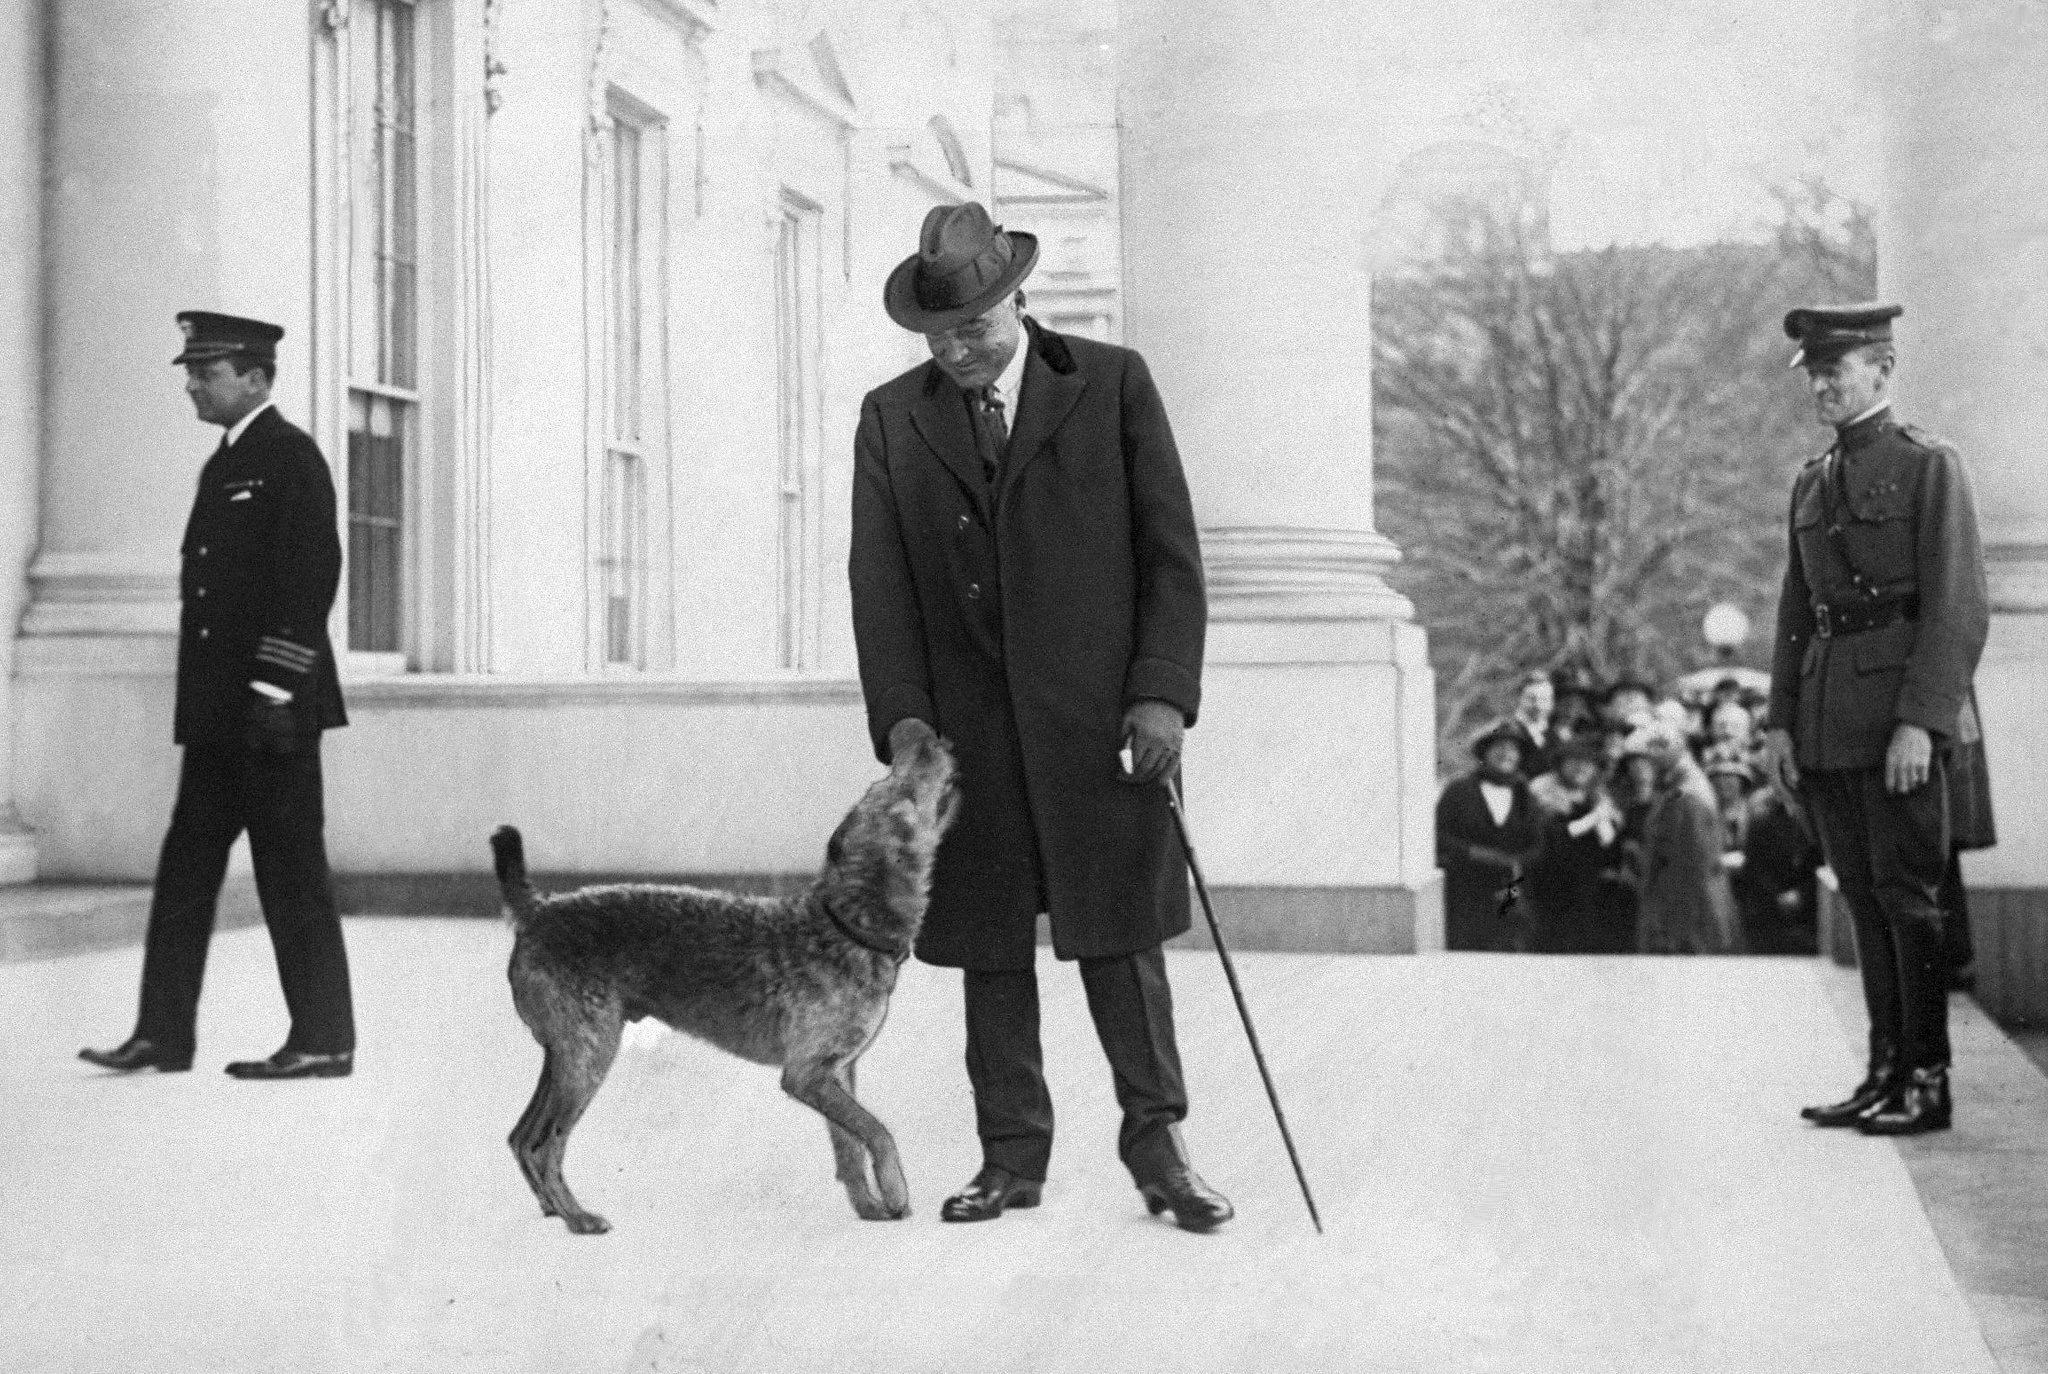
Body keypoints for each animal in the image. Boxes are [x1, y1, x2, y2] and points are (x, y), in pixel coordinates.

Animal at [489, 737, 958, 1244]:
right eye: (900, 793)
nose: (931, 738)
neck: (845, 926)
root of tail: (537, 911)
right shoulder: (806, 1074)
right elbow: (876, 1132)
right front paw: (894, 1193)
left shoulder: (837, 1071)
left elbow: (849, 1146)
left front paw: (868, 1207)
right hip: (589, 1055)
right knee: (545, 1144)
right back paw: (578, 1218)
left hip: (564, 1055)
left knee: (521, 1136)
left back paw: (552, 1209)